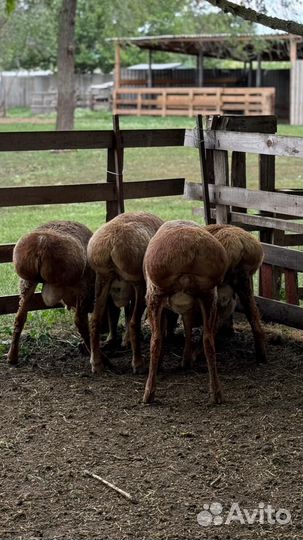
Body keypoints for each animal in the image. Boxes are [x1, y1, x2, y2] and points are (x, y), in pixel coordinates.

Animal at [7, 218, 95, 362]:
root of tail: (42, 243)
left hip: (27, 281)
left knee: (19, 317)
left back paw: (12, 357)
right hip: (81, 284)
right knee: (80, 321)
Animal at [86, 211, 165, 376]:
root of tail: (111, 243)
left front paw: (125, 340)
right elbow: (130, 317)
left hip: (102, 277)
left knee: (95, 319)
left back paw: (96, 363)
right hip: (138, 283)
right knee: (135, 322)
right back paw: (138, 363)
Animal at [142, 220, 228, 404]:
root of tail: (189, 249)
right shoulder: (189, 307)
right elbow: (188, 328)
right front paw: (186, 360)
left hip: (155, 292)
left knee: (156, 340)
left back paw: (148, 393)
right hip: (209, 294)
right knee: (208, 339)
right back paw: (216, 393)